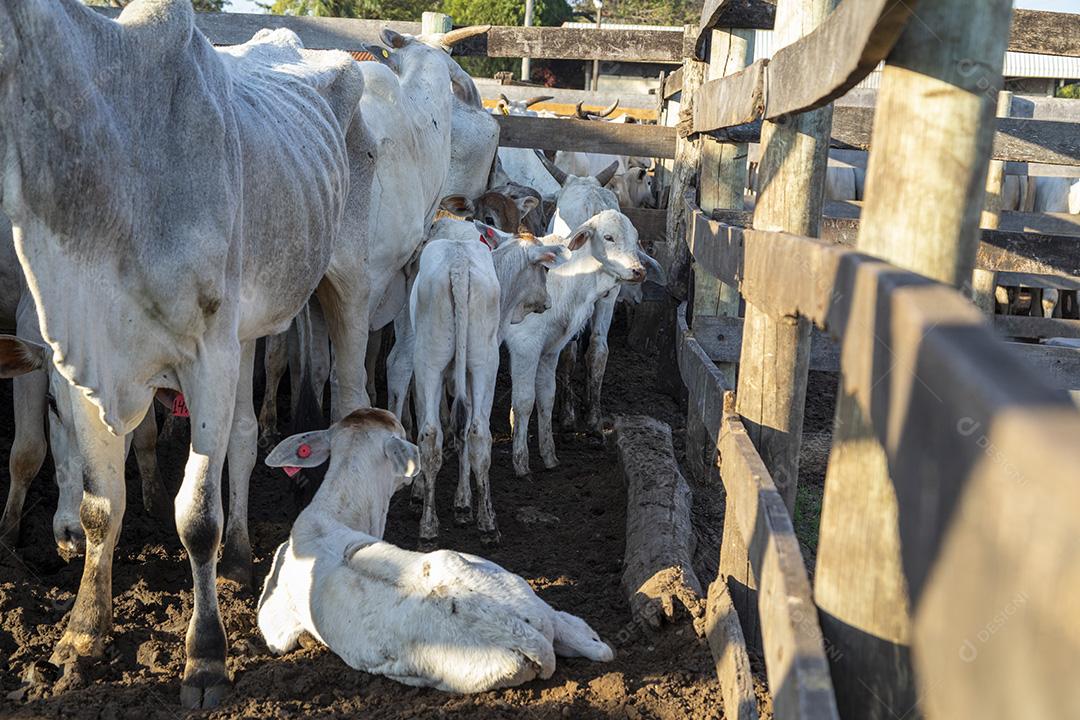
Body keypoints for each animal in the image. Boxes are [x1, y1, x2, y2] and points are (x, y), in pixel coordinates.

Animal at [0, 2, 369, 706]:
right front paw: (82, 636)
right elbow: (100, 508)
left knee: (351, 395)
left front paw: (205, 661)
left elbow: (196, 517)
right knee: (247, 437)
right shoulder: (89, 368)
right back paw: (244, 554)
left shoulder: (207, 357)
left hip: (350, 285)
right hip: (250, 331)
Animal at [410, 222, 570, 547]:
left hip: (430, 361)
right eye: (545, 269)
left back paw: (429, 529)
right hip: (485, 364)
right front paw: (464, 503)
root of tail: (458, 266)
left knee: (432, 434)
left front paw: (437, 496)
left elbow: (449, 429)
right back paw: (488, 524)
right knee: (479, 434)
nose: (547, 303)